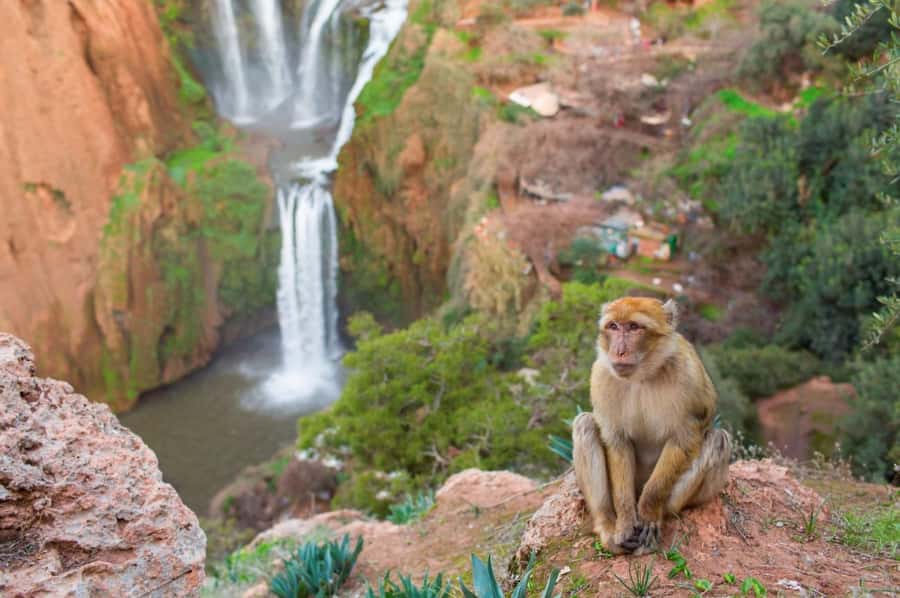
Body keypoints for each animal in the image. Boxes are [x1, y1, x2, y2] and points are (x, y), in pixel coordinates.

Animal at [572, 296, 731, 554]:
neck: (643, 374)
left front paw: (648, 513)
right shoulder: (601, 377)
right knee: (584, 423)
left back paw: (658, 515)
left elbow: (684, 440)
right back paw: (607, 525)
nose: (619, 351)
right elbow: (617, 441)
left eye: (634, 327)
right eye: (613, 326)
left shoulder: (689, 377)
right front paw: (625, 520)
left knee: (718, 439)